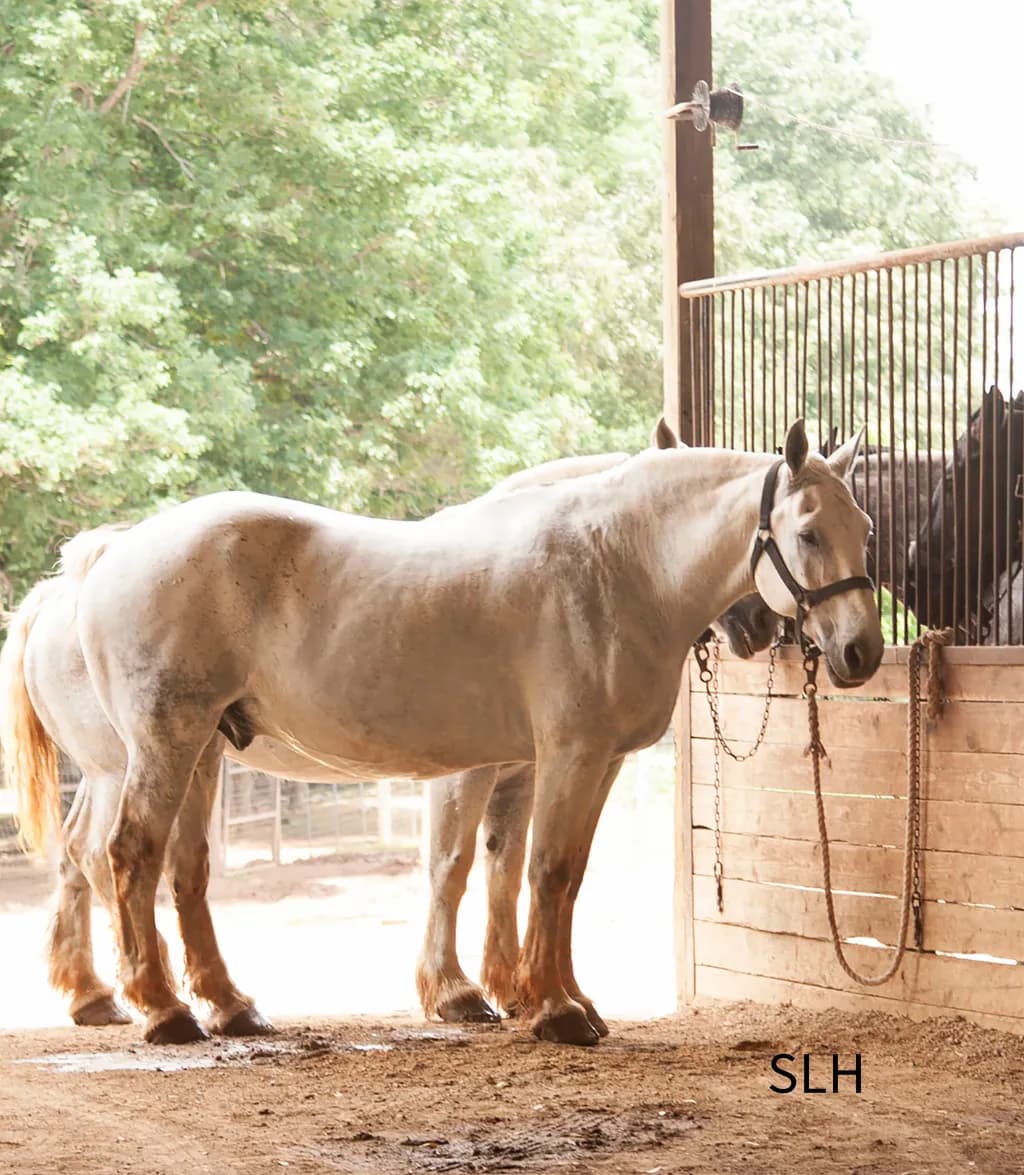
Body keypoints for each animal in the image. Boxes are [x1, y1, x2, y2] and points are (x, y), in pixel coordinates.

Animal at [2, 419, 881, 1046]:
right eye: (807, 532)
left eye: (865, 526)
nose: (861, 652)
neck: (614, 565)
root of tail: (108, 557)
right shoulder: (562, 755)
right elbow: (532, 872)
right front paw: (551, 1009)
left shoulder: (576, 763)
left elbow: (538, 873)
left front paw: (548, 994)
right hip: (159, 747)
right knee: (126, 856)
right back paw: (160, 1010)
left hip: (200, 750)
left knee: (177, 870)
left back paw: (223, 1004)